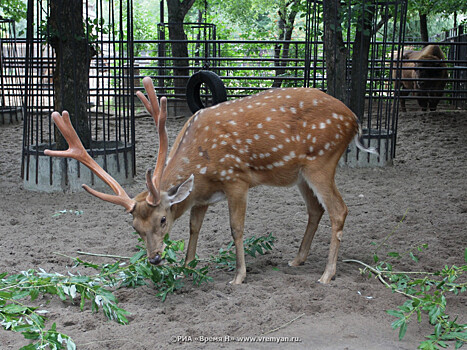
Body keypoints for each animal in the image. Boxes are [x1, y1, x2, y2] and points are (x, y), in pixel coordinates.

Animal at [45, 76, 378, 284]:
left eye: (162, 219)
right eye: (135, 227)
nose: (154, 259)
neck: (202, 169)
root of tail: (354, 121)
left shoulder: (236, 179)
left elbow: (236, 228)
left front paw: (239, 276)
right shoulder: (201, 196)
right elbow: (195, 228)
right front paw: (186, 267)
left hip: (322, 160)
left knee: (339, 209)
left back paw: (327, 274)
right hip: (299, 173)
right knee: (316, 209)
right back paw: (297, 260)